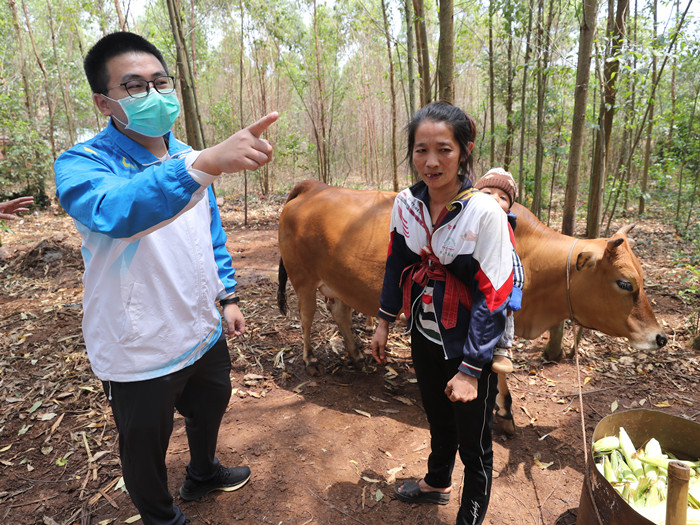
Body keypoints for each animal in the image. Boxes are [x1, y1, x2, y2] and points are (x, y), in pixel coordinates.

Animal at [276, 178, 664, 428]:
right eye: (625, 283)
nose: (659, 337)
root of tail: (313, 187)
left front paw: (503, 407)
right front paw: (502, 410)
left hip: (338, 284)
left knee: (340, 312)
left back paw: (357, 356)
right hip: (303, 279)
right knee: (307, 317)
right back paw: (311, 360)